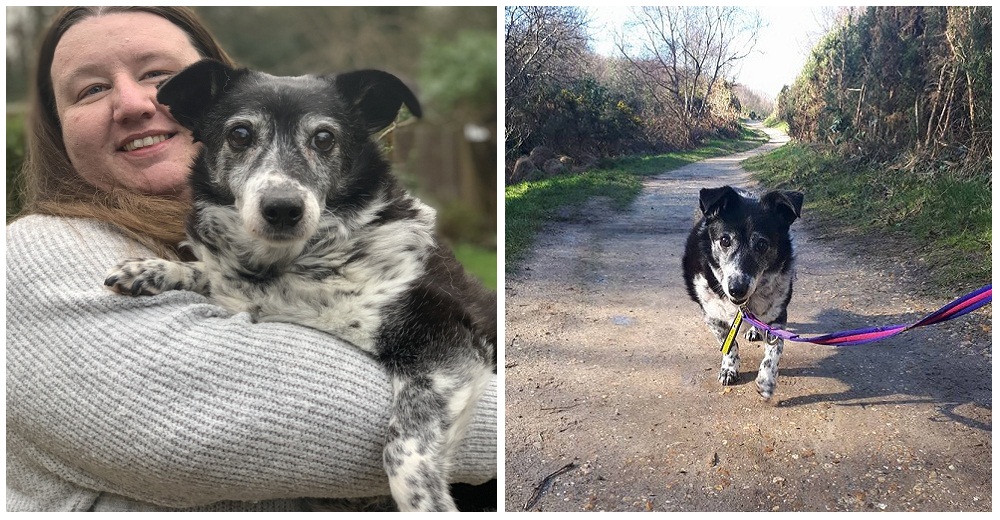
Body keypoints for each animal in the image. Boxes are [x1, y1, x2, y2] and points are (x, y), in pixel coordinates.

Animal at [105, 59, 496, 510]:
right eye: (240, 134)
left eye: (324, 138)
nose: (282, 208)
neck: (295, 265)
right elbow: (212, 273)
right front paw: (153, 269)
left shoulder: (445, 342)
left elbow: (403, 452)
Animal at [680, 188, 804, 402]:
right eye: (724, 240)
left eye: (762, 244)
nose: (737, 289)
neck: (743, 305)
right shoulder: (712, 317)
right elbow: (729, 344)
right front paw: (729, 368)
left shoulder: (778, 315)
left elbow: (774, 351)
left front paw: (766, 381)